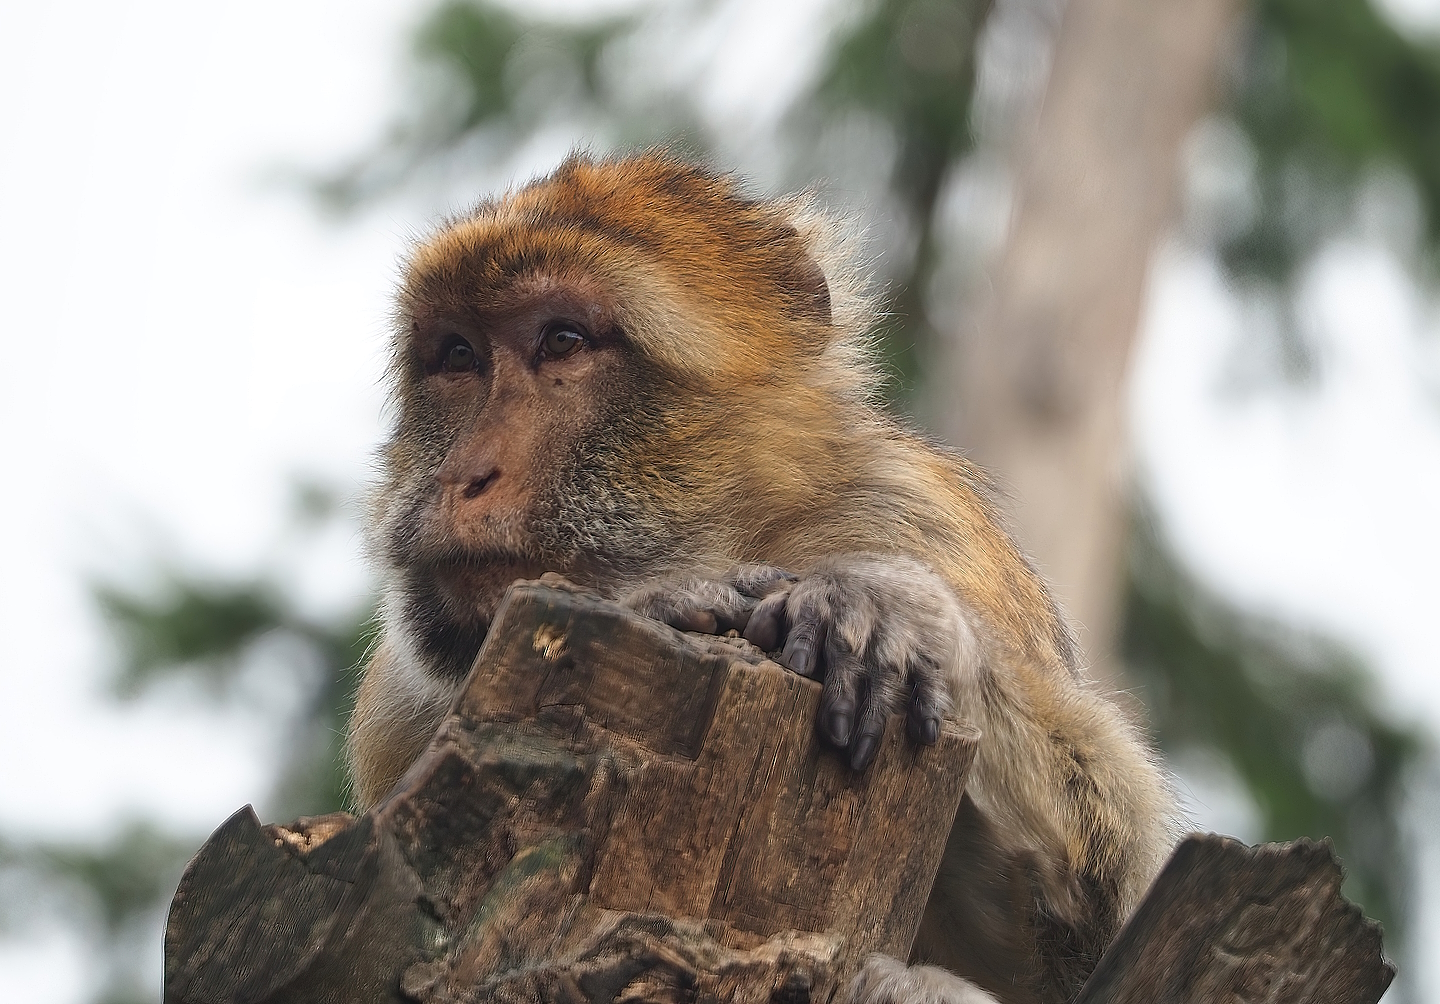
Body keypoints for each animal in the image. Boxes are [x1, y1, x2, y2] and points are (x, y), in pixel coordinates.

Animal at [346, 152, 1177, 1004]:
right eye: (457, 356)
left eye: (563, 341)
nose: (464, 477)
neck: (736, 536)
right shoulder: (401, 707)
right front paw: (670, 602)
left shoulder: (918, 519)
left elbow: (1107, 925)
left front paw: (896, 612)